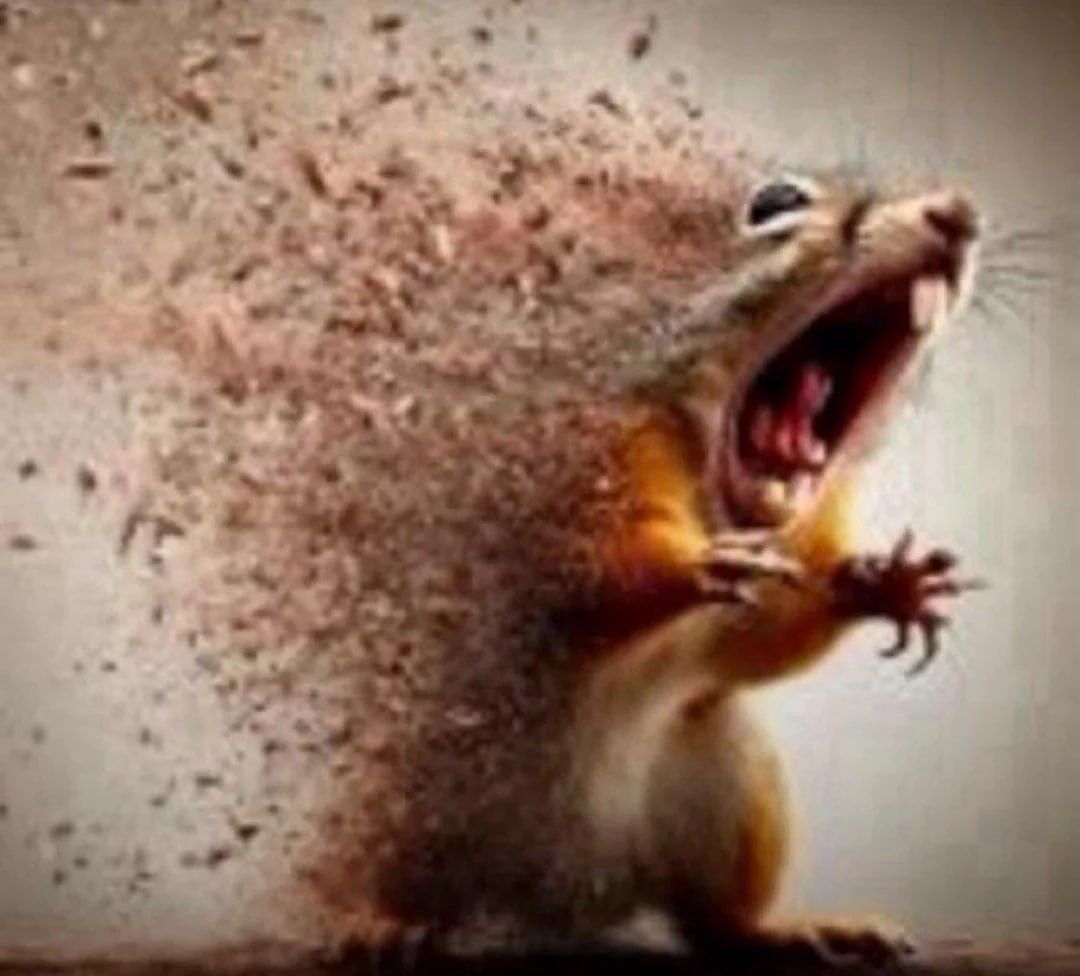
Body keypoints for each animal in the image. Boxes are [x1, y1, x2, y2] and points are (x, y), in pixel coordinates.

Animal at [336, 170, 982, 965]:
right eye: (774, 203)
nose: (957, 214)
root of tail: (560, 892)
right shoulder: (584, 471)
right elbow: (588, 570)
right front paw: (694, 564)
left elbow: (763, 638)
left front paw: (881, 583)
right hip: (409, 807)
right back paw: (374, 920)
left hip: (728, 788)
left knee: (713, 922)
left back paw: (795, 929)